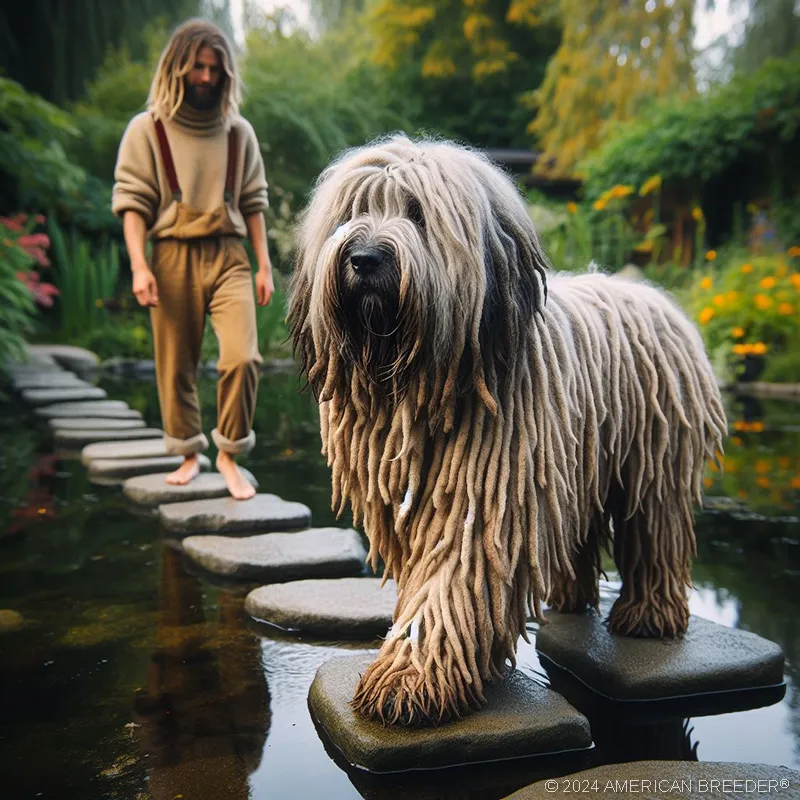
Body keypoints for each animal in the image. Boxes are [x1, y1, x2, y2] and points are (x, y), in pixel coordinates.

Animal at [290, 136, 732, 724]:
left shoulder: (483, 498)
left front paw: (411, 678)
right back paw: (568, 596)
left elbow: (451, 577)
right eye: (353, 212)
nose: (363, 258)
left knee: (654, 528)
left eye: (417, 214)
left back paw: (649, 614)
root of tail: (656, 298)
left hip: (655, 458)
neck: (426, 382)